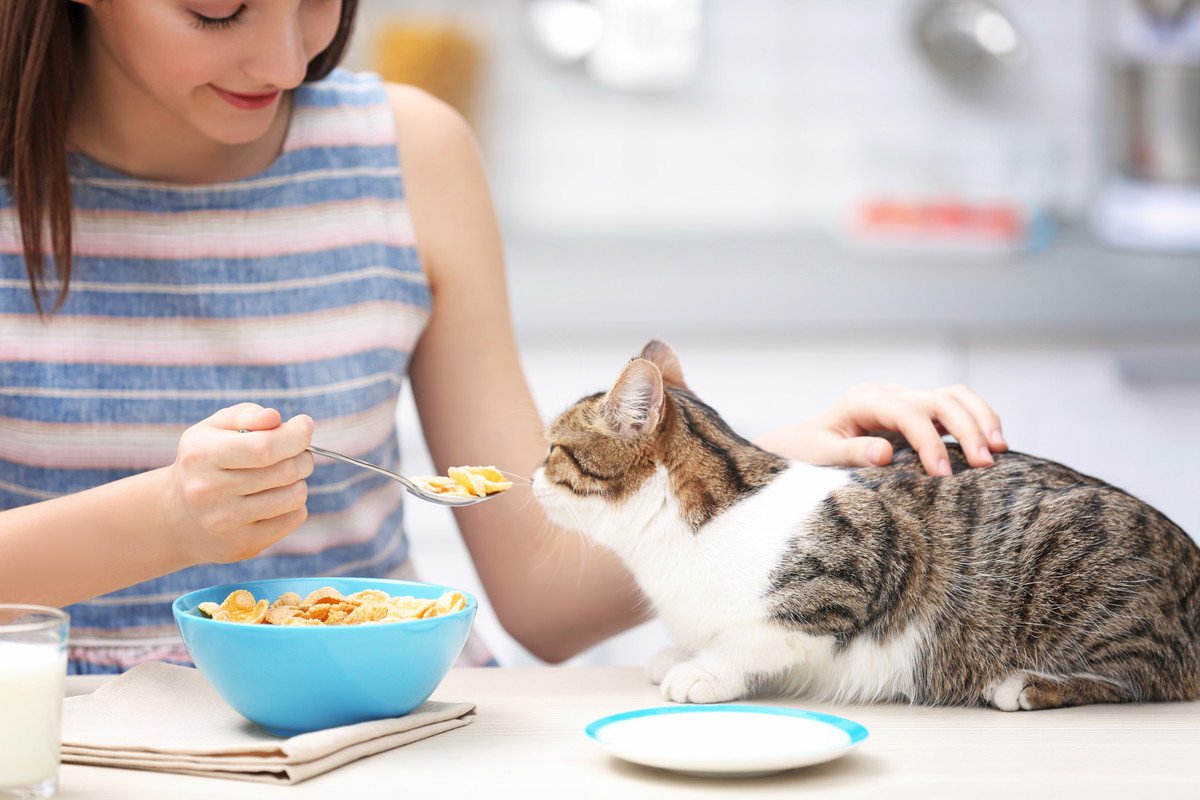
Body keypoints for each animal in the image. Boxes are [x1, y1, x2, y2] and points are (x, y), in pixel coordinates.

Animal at [535, 340, 1200, 710]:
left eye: (554, 450)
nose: (532, 475)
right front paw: (681, 651)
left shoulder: (863, 562)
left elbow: (755, 635)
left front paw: (704, 670)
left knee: (1153, 674)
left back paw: (1030, 686)